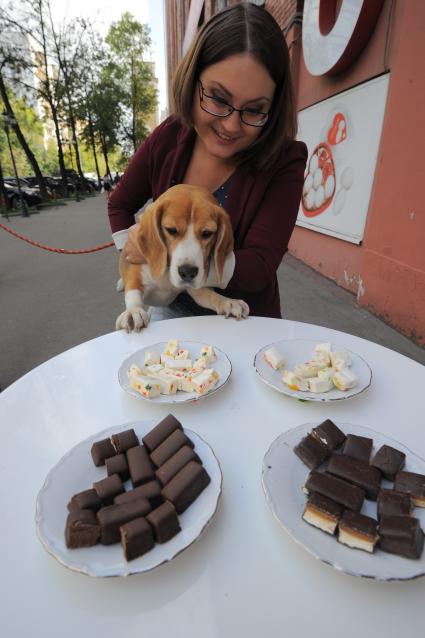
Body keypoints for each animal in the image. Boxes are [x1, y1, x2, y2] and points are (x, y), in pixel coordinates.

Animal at [115, 182, 248, 332]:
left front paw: (228, 302)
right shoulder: (137, 273)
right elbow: (133, 291)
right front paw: (133, 311)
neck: (167, 275)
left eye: (207, 233)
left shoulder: (197, 289)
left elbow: (210, 296)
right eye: (171, 230)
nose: (188, 272)